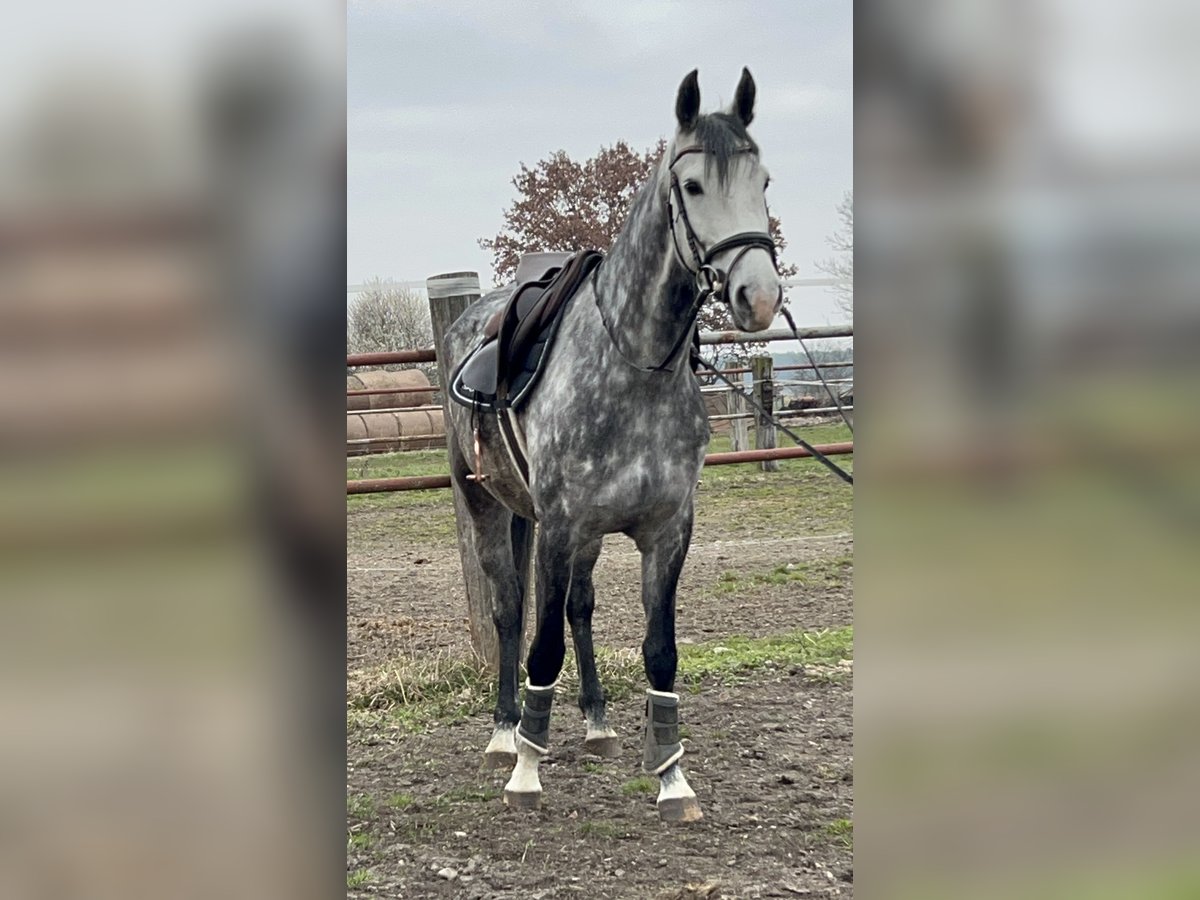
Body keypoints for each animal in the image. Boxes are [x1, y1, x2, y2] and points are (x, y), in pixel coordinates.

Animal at [446, 66, 782, 820]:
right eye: (693, 186)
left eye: (764, 180)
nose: (759, 296)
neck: (635, 366)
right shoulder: (560, 525)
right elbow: (541, 644)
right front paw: (526, 770)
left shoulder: (667, 531)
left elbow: (659, 651)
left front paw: (672, 777)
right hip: (489, 507)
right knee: (510, 611)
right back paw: (507, 734)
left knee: (579, 607)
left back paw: (596, 722)